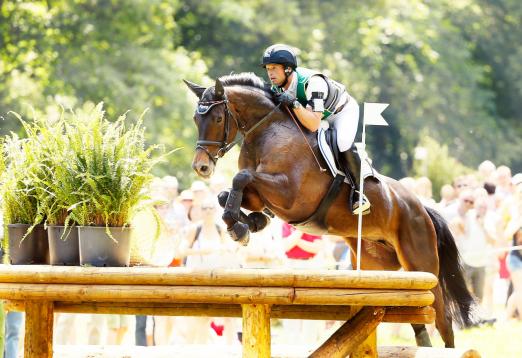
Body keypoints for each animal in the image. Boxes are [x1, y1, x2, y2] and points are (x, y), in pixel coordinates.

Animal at [184, 72, 476, 346]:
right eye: (196, 119)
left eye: (218, 119)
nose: (201, 167)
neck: (266, 130)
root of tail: (421, 207)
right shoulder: (261, 195)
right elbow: (227, 194)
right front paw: (247, 223)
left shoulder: (290, 195)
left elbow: (241, 178)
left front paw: (242, 227)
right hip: (378, 266)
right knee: (411, 313)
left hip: (421, 263)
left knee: (443, 320)